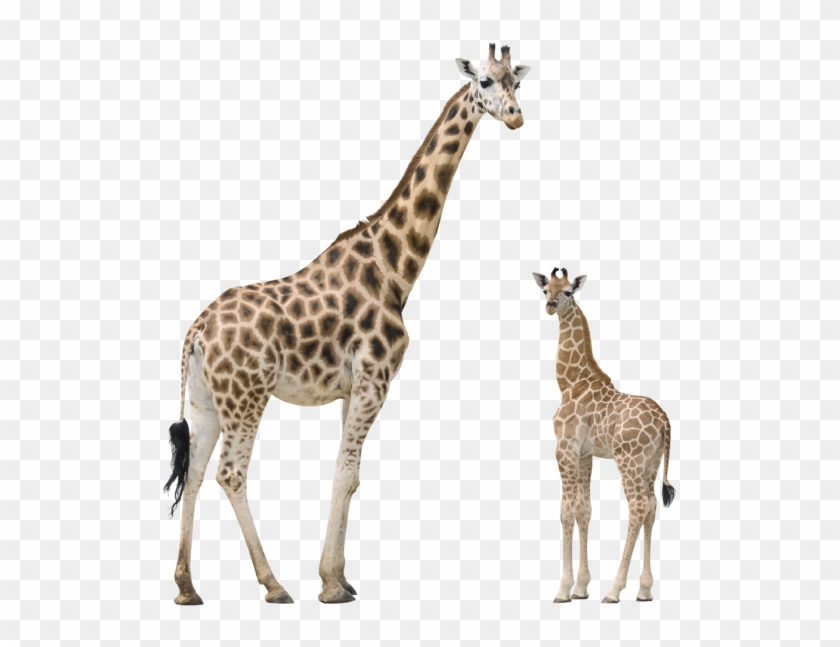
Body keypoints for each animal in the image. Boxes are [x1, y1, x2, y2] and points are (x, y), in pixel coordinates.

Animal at [164, 44, 531, 605]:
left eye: (518, 81)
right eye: (485, 82)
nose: (515, 117)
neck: (395, 266)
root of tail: (196, 333)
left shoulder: (350, 388)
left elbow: (350, 475)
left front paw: (338, 577)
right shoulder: (375, 381)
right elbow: (345, 475)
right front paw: (331, 587)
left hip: (207, 402)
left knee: (197, 472)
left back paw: (187, 587)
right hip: (247, 397)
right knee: (231, 473)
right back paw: (273, 584)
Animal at [532, 267, 676, 603]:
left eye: (568, 292)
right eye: (545, 290)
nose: (551, 306)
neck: (570, 382)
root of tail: (664, 421)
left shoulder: (564, 449)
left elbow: (566, 510)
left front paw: (563, 590)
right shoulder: (585, 454)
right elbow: (584, 510)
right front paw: (581, 587)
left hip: (629, 460)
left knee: (638, 506)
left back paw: (614, 590)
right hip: (650, 464)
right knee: (651, 506)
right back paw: (644, 590)